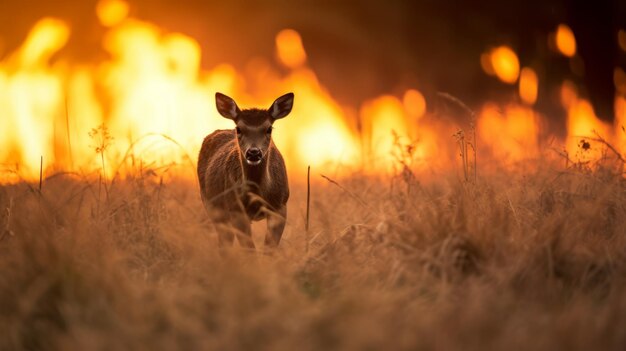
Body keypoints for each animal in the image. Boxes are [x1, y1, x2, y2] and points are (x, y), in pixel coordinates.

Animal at [196, 91, 294, 250]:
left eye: (269, 129)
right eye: (239, 129)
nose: (253, 152)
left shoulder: (280, 206)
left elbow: (269, 249)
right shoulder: (236, 208)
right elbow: (249, 249)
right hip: (211, 205)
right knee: (225, 241)